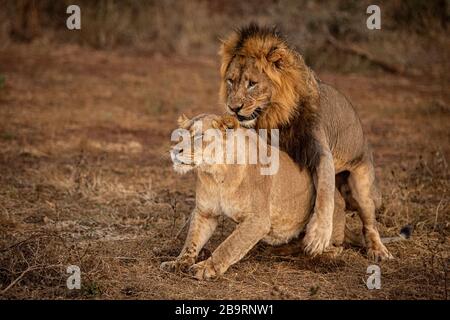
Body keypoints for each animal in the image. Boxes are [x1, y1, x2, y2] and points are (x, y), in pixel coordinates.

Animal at [160, 114, 370, 280]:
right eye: (179, 136)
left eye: (200, 135)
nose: (174, 151)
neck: (217, 173)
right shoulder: (205, 213)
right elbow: (192, 240)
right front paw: (178, 262)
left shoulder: (258, 220)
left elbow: (229, 245)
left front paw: (206, 267)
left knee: (335, 247)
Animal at [218, 24, 390, 260]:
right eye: (230, 80)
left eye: (252, 84)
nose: (233, 108)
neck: (274, 118)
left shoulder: (320, 150)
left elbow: (325, 191)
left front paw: (318, 236)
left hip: (362, 186)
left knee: (369, 222)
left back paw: (377, 249)